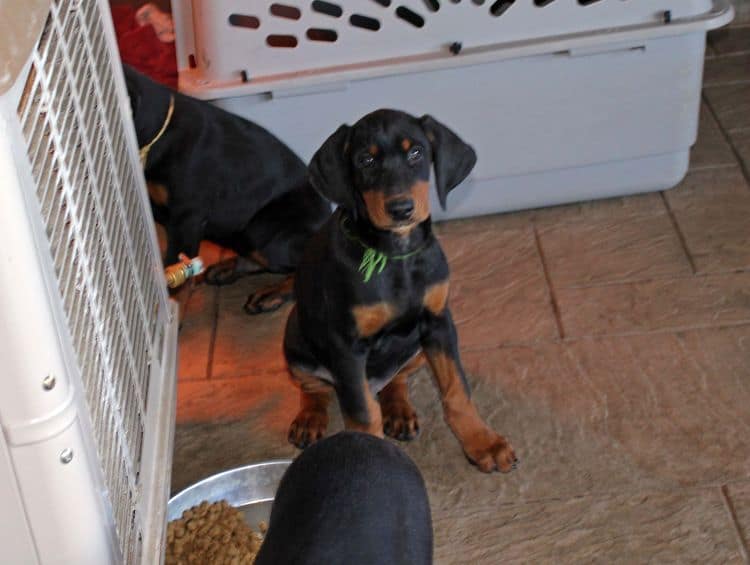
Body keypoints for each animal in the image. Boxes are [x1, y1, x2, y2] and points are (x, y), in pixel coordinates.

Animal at [124, 66, 332, 312]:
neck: (158, 132)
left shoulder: (185, 217)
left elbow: (177, 272)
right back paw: (226, 268)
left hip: (264, 230)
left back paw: (271, 294)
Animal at [284, 109, 520, 472]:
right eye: (365, 160)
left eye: (416, 153)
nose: (401, 209)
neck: (396, 255)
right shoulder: (347, 345)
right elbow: (363, 414)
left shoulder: (438, 322)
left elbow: (457, 390)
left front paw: (482, 442)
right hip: (294, 338)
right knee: (313, 388)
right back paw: (310, 418)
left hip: (416, 348)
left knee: (396, 378)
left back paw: (398, 410)